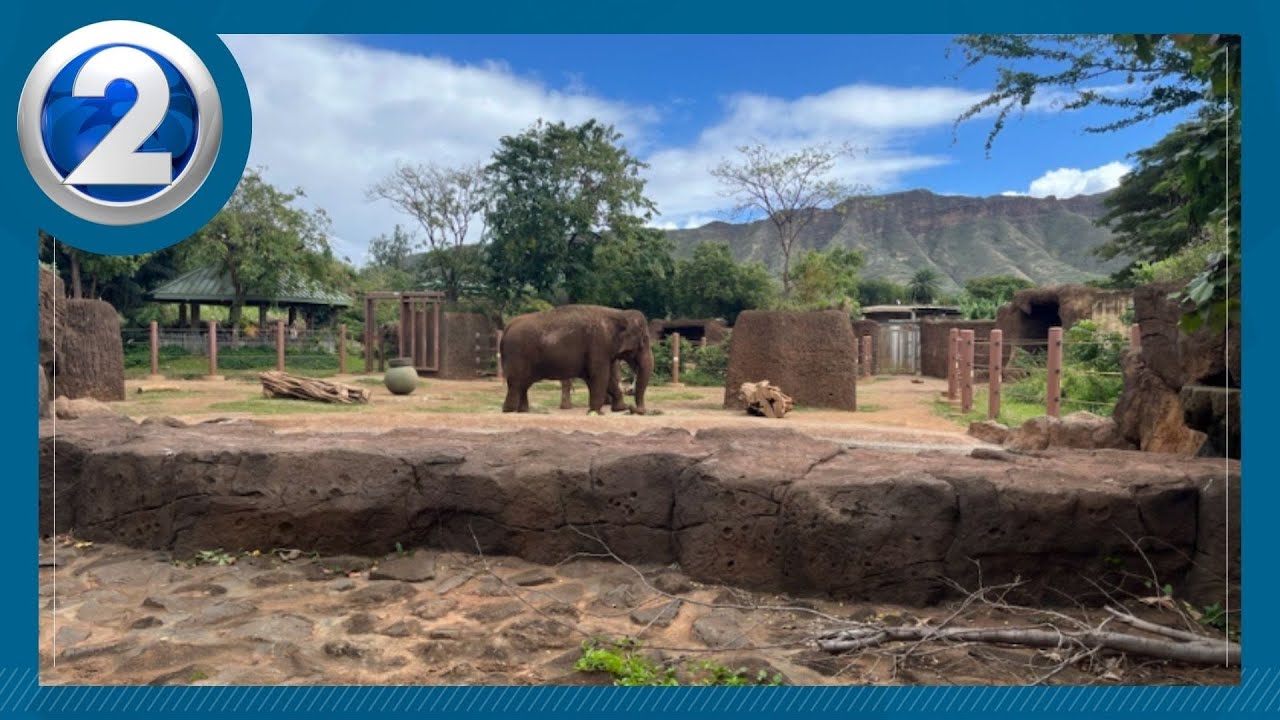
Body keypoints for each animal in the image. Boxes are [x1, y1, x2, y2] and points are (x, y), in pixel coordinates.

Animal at [501, 305, 652, 414]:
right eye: (645, 340)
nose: (634, 408)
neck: (620, 313)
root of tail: (507, 327)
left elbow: (604, 378)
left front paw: (620, 408)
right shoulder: (598, 344)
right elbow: (600, 375)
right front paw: (597, 412)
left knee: (523, 384)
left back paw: (522, 411)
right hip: (517, 354)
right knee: (517, 383)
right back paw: (509, 410)